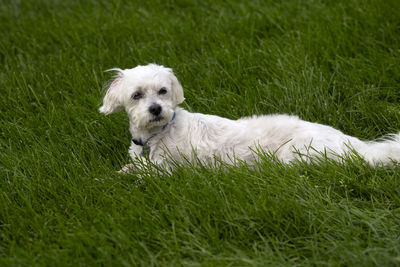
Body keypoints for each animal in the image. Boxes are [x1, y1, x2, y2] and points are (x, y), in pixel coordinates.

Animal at [99, 64, 400, 173]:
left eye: (162, 91)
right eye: (137, 95)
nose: (156, 109)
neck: (158, 133)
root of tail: (354, 145)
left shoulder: (167, 169)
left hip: (297, 154)